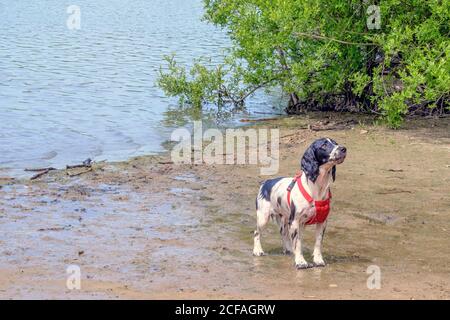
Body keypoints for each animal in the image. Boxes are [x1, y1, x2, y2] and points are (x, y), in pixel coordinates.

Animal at [253, 138, 348, 270]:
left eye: (335, 143)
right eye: (324, 145)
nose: (343, 148)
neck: (316, 188)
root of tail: (266, 183)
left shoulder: (322, 222)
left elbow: (318, 243)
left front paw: (318, 260)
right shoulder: (295, 221)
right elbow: (297, 243)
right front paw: (300, 262)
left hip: (286, 220)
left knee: (284, 234)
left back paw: (288, 249)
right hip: (263, 217)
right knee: (257, 233)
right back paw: (257, 250)